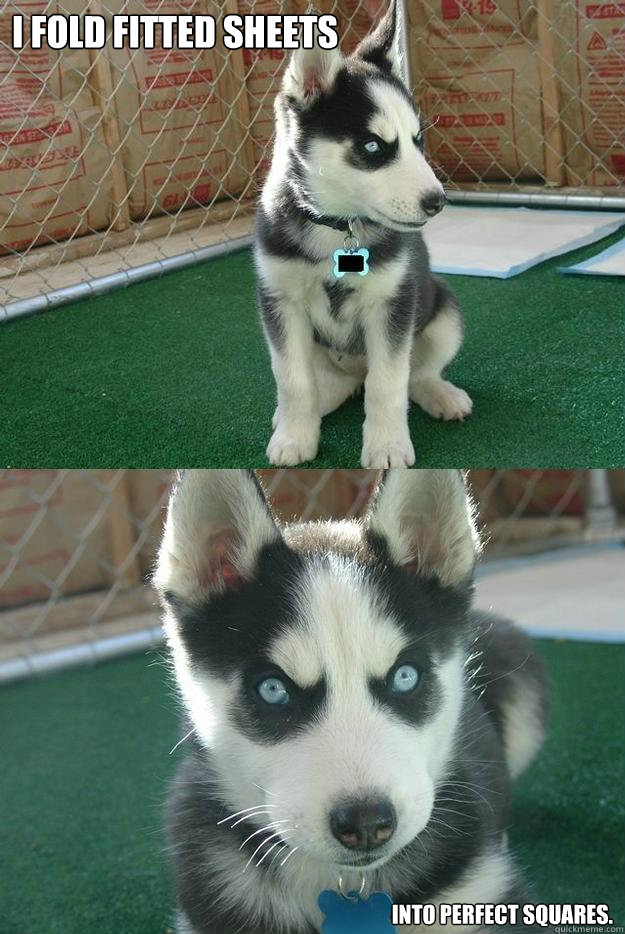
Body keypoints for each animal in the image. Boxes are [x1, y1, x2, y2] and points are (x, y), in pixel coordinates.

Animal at [256, 0, 470, 468]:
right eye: (373, 147)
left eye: (417, 140)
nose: (438, 201)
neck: (338, 226)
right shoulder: (280, 302)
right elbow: (292, 379)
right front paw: (294, 437)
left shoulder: (392, 305)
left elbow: (388, 383)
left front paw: (387, 445)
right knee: (327, 385)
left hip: (443, 311)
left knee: (414, 374)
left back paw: (440, 394)